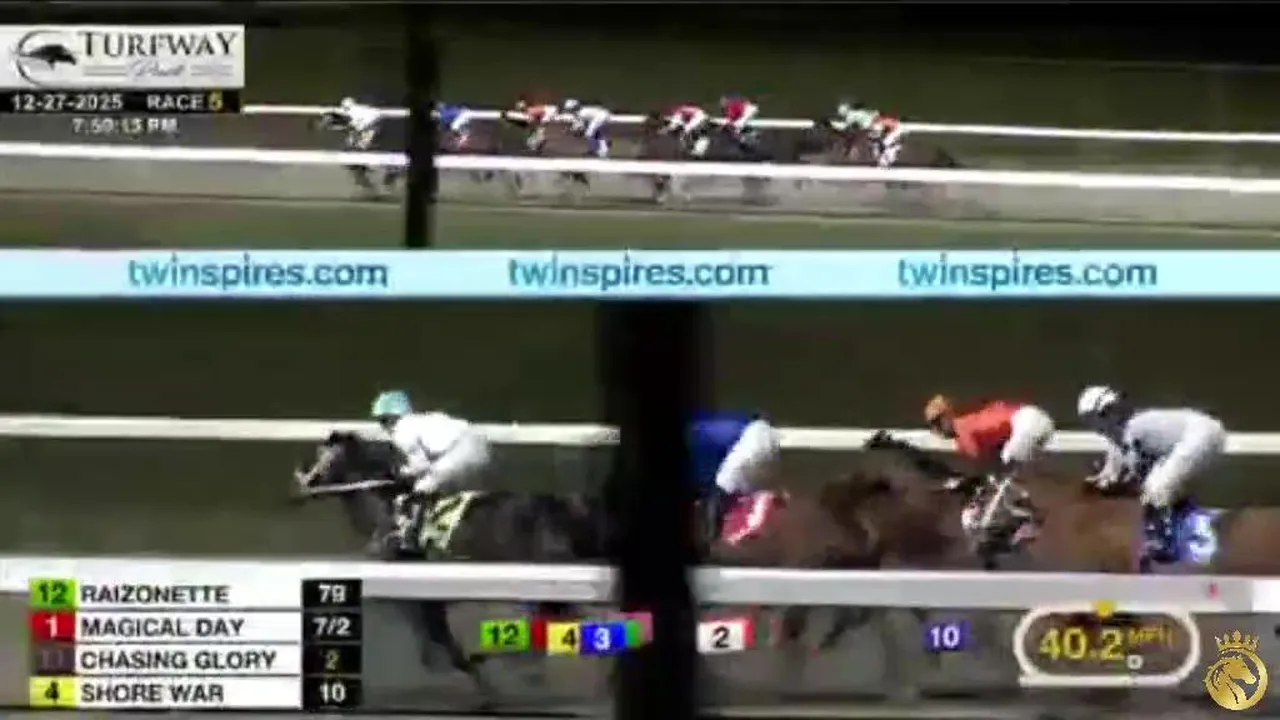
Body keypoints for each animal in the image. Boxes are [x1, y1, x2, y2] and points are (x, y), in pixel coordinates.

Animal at [290, 432, 604, 702]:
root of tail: (561, 509)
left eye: (324, 456)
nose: (302, 485)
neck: (390, 507)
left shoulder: (423, 594)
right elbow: (434, 641)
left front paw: (482, 683)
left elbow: (443, 642)